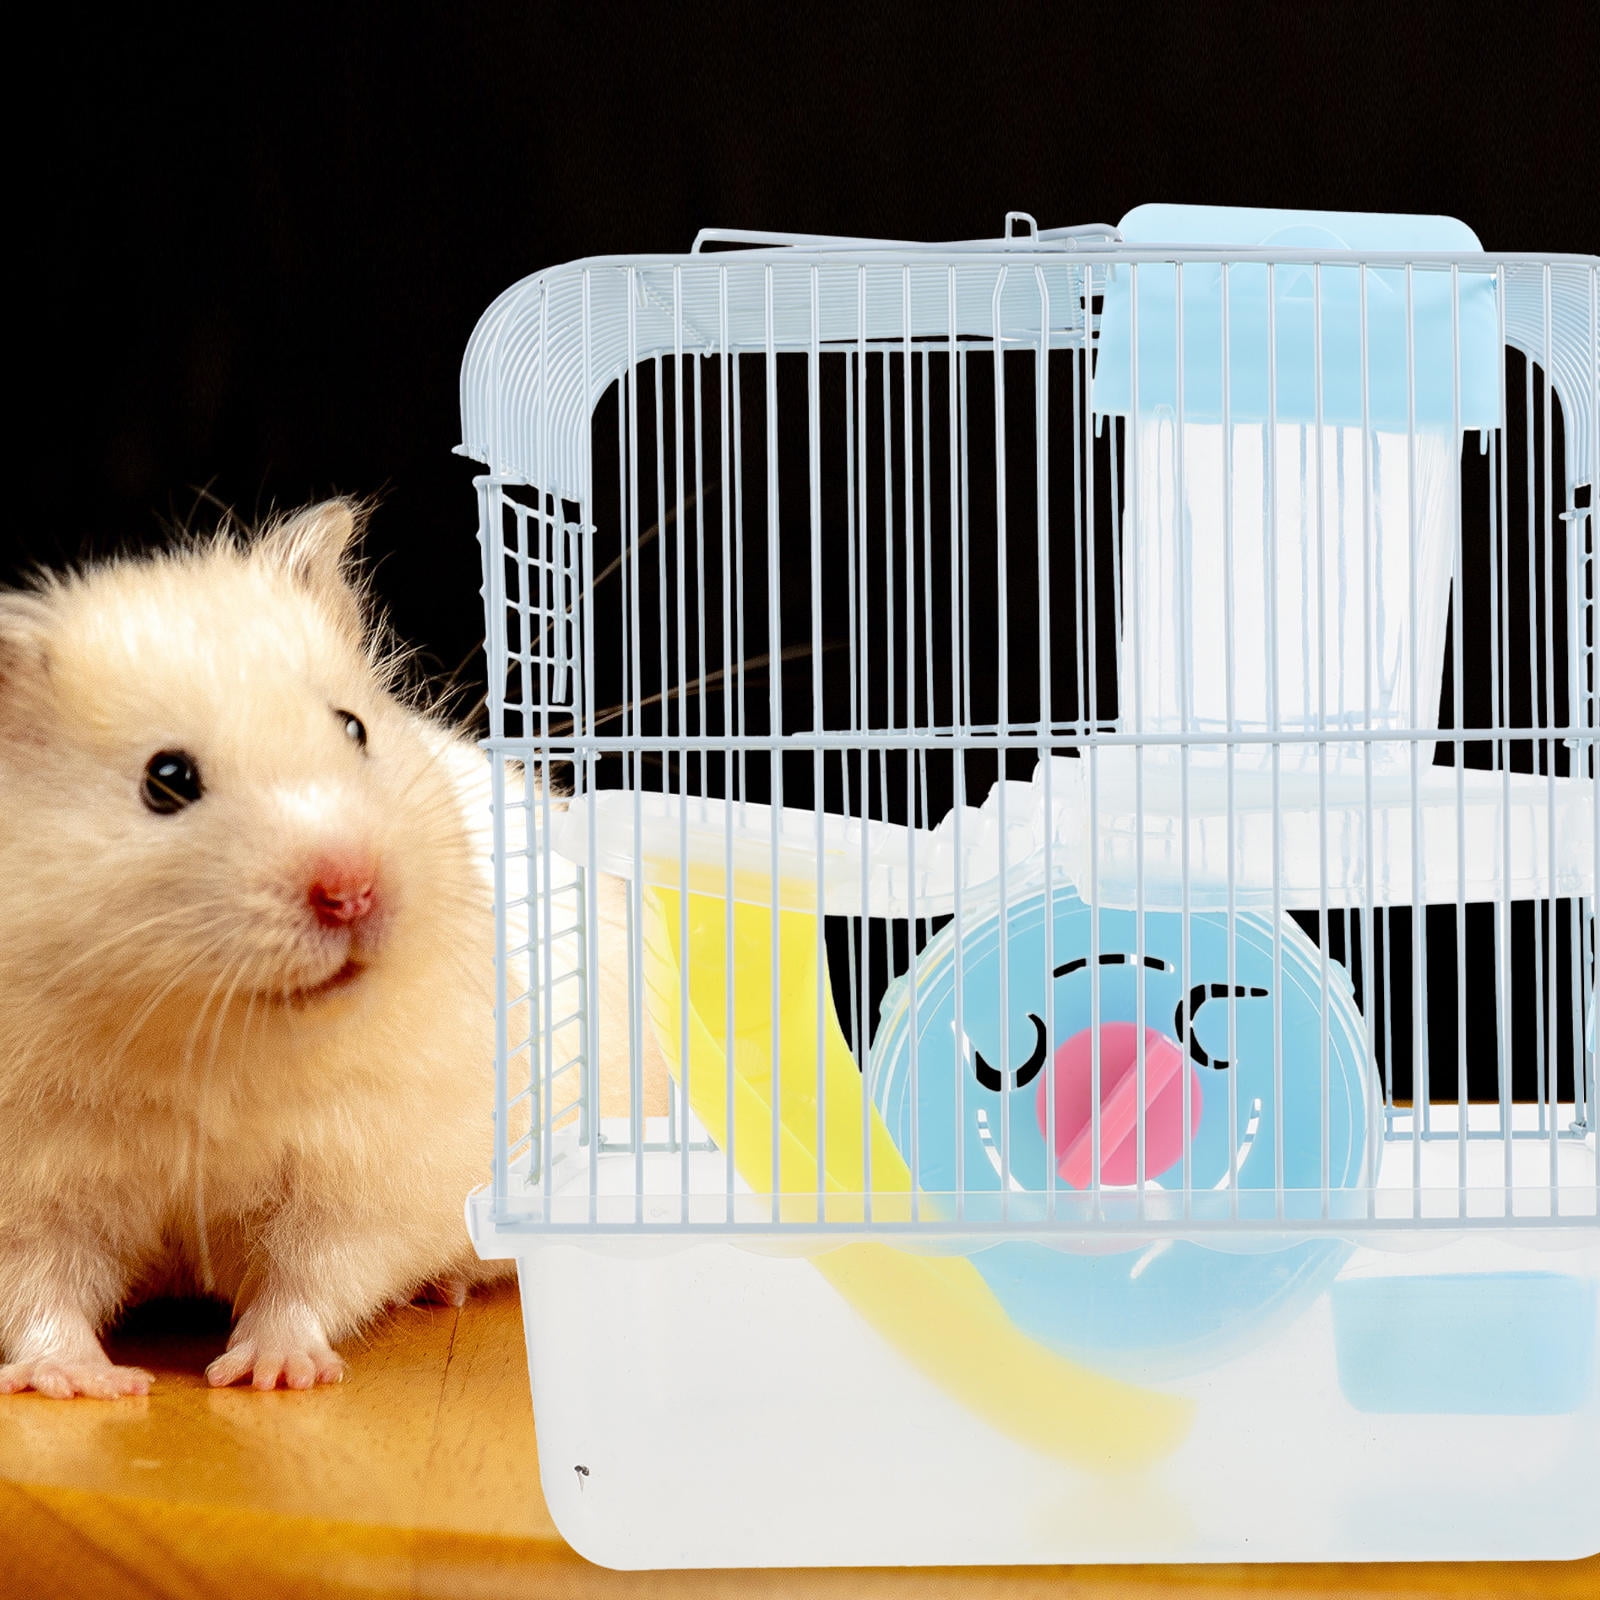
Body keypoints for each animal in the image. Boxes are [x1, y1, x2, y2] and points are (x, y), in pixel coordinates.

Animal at [0, 500, 663, 1397]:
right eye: (166, 780)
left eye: (353, 728)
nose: (353, 892)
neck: (211, 1043)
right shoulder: (30, 1191)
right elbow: (40, 1291)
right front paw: (81, 1381)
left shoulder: (373, 1172)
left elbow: (311, 1274)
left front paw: (270, 1373)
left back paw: (444, 1289)